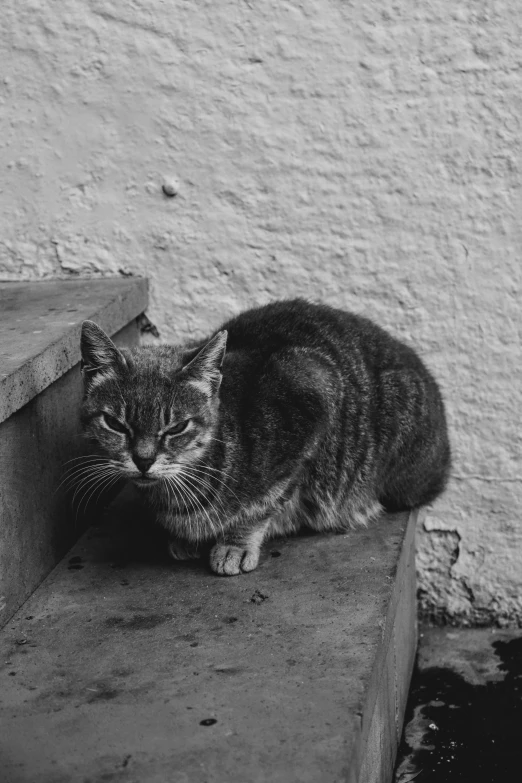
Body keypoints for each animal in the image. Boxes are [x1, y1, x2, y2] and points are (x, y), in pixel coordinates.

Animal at [79, 300, 448, 576]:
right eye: (115, 424)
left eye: (176, 428)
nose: (143, 460)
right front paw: (187, 539)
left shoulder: (314, 391)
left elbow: (264, 504)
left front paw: (235, 544)